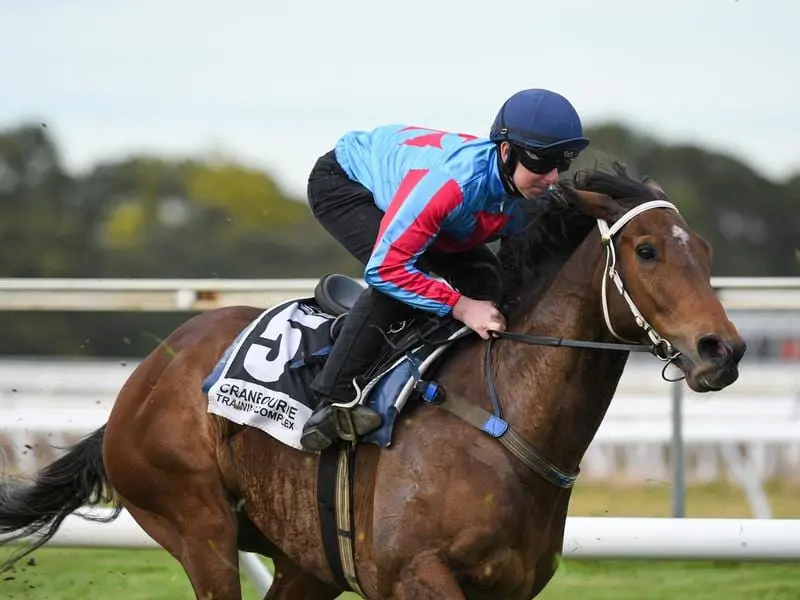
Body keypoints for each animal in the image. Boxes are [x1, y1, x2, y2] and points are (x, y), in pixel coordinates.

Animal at [3, 164, 748, 600]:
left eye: (709, 251)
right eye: (647, 251)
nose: (724, 350)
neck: (502, 418)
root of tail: (150, 374)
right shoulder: (412, 575)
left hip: (304, 559)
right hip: (197, 525)